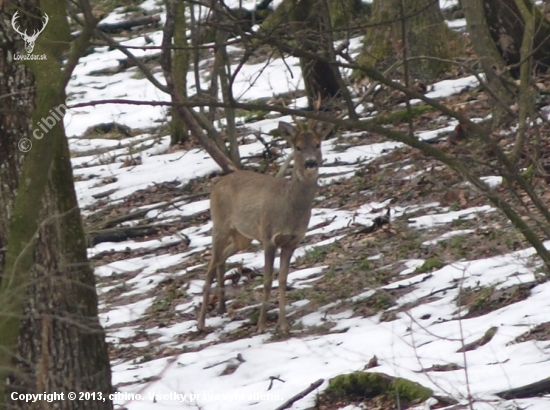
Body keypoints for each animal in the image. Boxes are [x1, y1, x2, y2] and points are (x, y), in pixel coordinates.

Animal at [201, 118, 334, 334]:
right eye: (298, 147)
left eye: (317, 144)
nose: (311, 163)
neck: (289, 206)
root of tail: (218, 183)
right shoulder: (269, 237)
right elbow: (267, 281)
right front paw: (262, 326)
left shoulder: (292, 241)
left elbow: (282, 279)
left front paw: (283, 324)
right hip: (220, 224)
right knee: (210, 266)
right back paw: (201, 323)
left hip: (243, 236)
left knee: (221, 259)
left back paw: (221, 307)